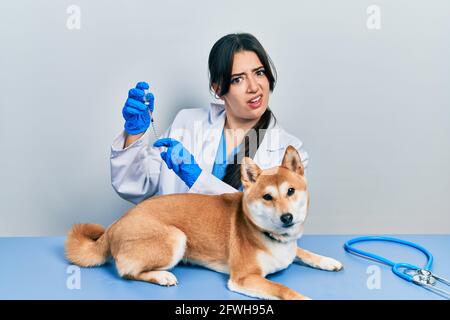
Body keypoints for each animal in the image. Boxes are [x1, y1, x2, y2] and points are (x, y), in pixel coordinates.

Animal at [66, 146, 342, 300]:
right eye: (267, 197)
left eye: (291, 191)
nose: (287, 218)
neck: (270, 237)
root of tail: (114, 225)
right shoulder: (244, 278)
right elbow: (283, 289)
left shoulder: (291, 247)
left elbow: (303, 252)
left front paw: (327, 260)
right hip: (176, 238)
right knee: (127, 272)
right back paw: (162, 276)